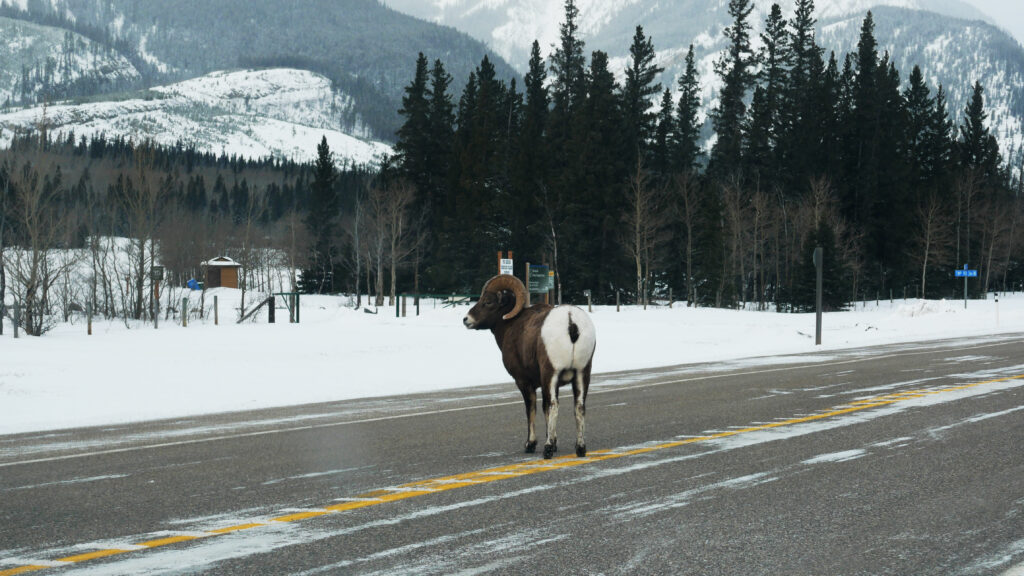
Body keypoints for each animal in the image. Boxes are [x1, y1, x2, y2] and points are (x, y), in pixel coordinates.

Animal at [462, 272, 598, 457]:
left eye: (488, 301)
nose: (466, 320)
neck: (512, 326)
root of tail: (571, 321)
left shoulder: (524, 381)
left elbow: (532, 409)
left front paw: (532, 445)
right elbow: (544, 408)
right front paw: (554, 442)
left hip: (551, 373)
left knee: (554, 405)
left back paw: (547, 450)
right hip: (582, 373)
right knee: (579, 407)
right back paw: (580, 449)